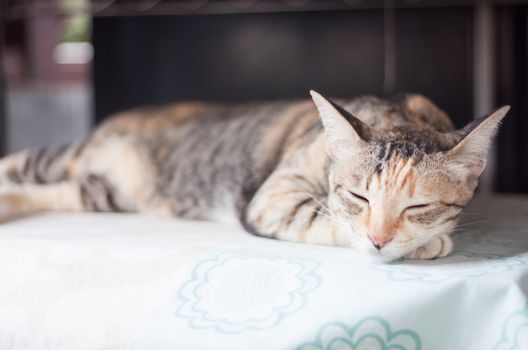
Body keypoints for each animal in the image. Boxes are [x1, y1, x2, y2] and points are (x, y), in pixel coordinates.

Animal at [0, 90, 508, 260]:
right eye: (358, 197)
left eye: (417, 205)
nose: (381, 240)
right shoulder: (272, 197)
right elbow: (323, 219)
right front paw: (426, 245)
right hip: (63, 157)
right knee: (16, 163)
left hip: (102, 192)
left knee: (47, 193)